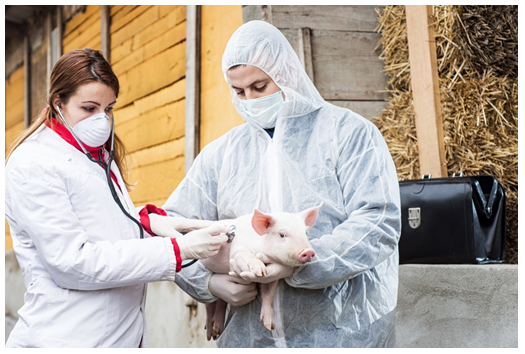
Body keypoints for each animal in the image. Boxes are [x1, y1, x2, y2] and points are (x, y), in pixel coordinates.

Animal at [200, 205, 320, 340]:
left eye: (305, 233)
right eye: (282, 234)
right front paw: (258, 270)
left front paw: (270, 326)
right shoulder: (237, 249)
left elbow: (268, 294)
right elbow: (243, 256)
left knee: (221, 301)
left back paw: (217, 331)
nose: (309, 251)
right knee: (209, 303)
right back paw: (211, 334)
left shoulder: (272, 278)